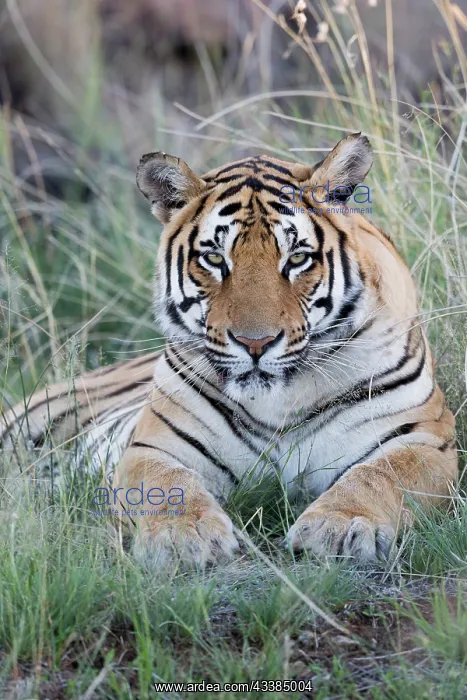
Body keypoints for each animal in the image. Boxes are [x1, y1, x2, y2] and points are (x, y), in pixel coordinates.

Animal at [1, 133, 457, 568]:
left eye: (297, 259)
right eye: (214, 259)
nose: (255, 343)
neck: (281, 400)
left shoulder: (423, 439)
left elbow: (379, 476)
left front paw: (339, 527)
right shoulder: (156, 446)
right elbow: (166, 484)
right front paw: (183, 538)